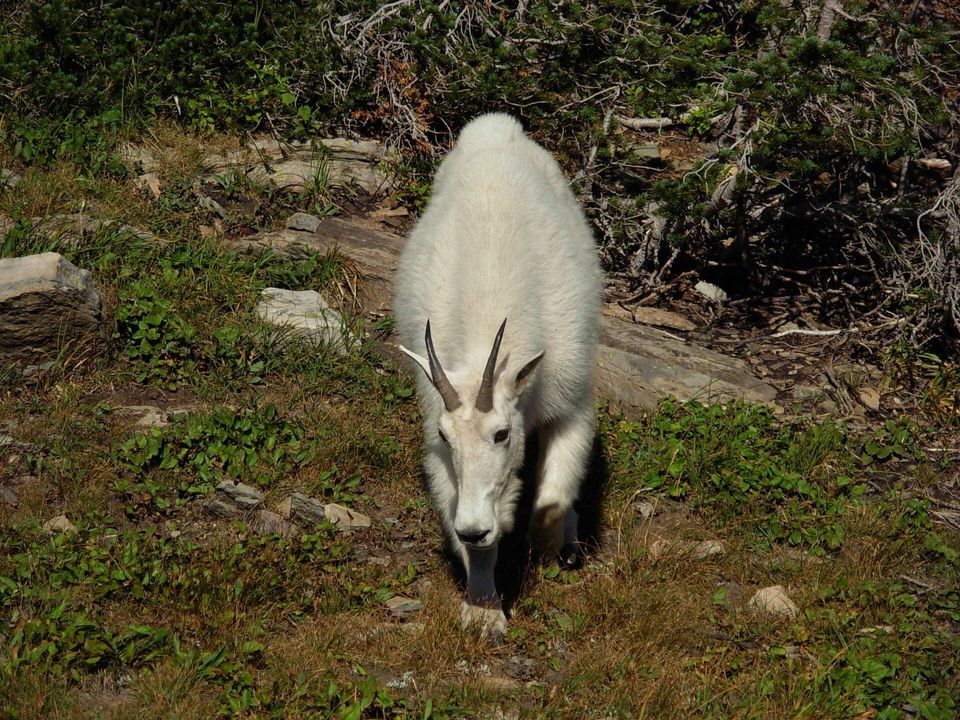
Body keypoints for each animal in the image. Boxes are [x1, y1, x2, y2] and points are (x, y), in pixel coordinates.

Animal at [390, 115, 600, 640]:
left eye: (502, 434)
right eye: (447, 437)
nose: (475, 526)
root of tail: (492, 127)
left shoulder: (571, 402)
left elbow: (552, 497)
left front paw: (544, 545)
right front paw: (484, 610)